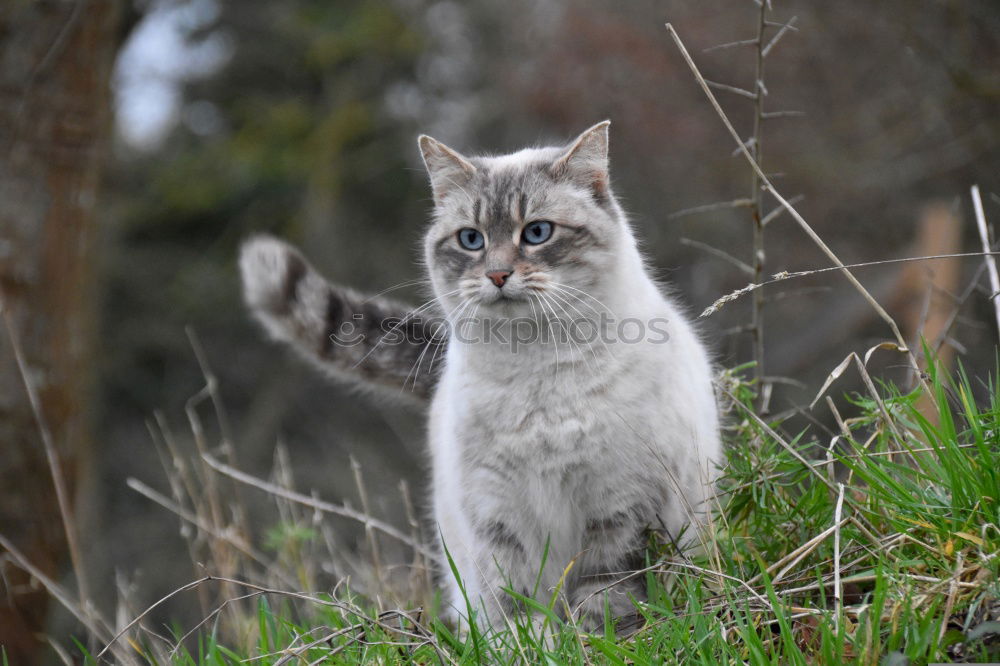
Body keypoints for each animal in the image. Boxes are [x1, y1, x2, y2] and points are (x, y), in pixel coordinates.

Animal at [238, 122, 724, 632]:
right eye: (471, 239)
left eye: (537, 232)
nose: (496, 274)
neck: (535, 365)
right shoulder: (497, 511)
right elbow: (514, 602)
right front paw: (530, 642)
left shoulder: (620, 503)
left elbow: (605, 596)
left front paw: (597, 637)